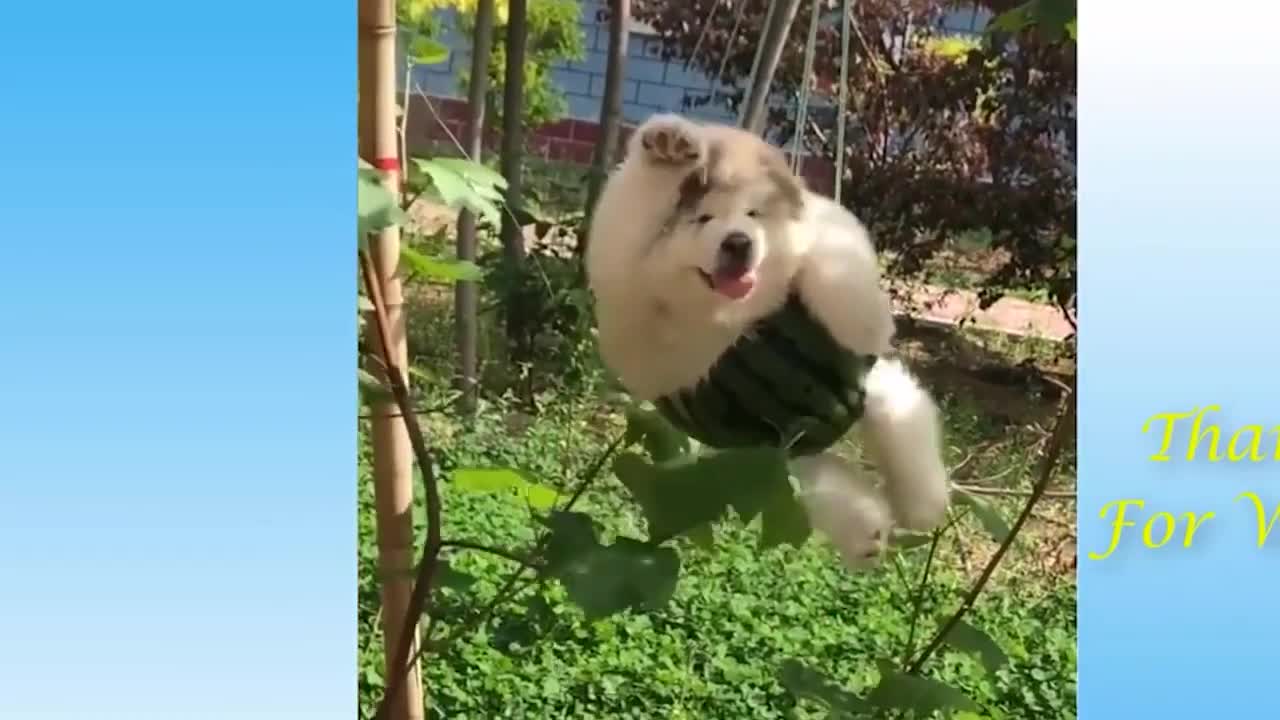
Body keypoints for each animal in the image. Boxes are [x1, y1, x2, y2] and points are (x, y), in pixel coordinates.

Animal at [586, 113, 947, 561]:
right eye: (703, 218)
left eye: (752, 214)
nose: (739, 242)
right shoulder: (621, 259)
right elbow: (638, 205)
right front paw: (670, 148)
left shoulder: (824, 229)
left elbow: (831, 262)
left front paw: (867, 324)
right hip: (778, 445)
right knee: (825, 480)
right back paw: (870, 534)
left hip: (854, 405)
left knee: (902, 422)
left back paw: (922, 507)